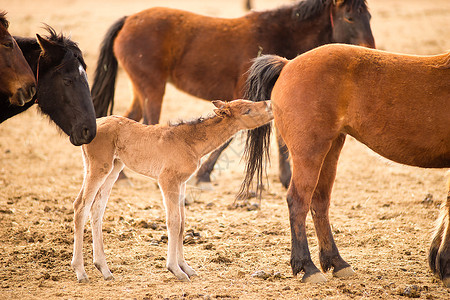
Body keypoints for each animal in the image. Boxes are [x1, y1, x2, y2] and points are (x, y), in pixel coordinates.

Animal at [72, 99, 272, 282]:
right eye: (247, 110)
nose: (269, 104)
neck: (188, 141)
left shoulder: (182, 183)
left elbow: (182, 223)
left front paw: (186, 267)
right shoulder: (167, 180)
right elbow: (173, 222)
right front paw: (176, 270)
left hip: (114, 167)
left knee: (96, 209)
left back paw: (104, 269)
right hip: (99, 167)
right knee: (80, 206)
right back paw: (81, 272)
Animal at [89, 0, 374, 186]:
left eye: (369, 17)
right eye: (350, 17)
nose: (370, 50)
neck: (277, 34)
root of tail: (129, 20)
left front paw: (286, 177)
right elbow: (232, 135)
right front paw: (204, 174)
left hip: (142, 90)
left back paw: (121, 175)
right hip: (153, 89)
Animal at [241, 43, 450, 284]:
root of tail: (288, 64)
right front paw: (444, 264)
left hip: (330, 150)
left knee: (319, 202)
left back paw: (337, 262)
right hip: (309, 153)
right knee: (298, 201)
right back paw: (307, 266)